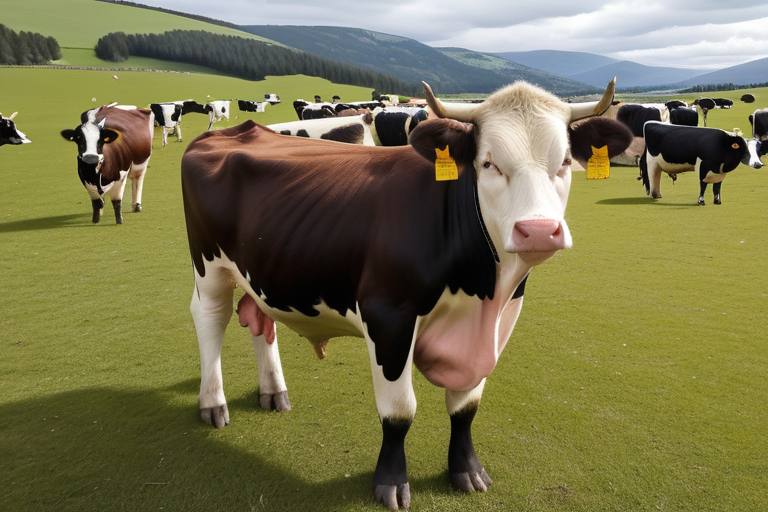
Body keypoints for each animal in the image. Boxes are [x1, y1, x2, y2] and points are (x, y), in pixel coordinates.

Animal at [180, 78, 632, 511]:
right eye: (489, 163)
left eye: (565, 163)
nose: (538, 230)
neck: (483, 292)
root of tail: (234, 130)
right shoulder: (388, 318)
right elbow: (399, 413)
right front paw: (391, 483)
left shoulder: (495, 326)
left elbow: (466, 406)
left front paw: (467, 471)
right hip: (210, 268)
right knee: (210, 319)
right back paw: (213, 403)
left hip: (262, 270)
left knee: (258, 318)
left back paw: (273, 392)